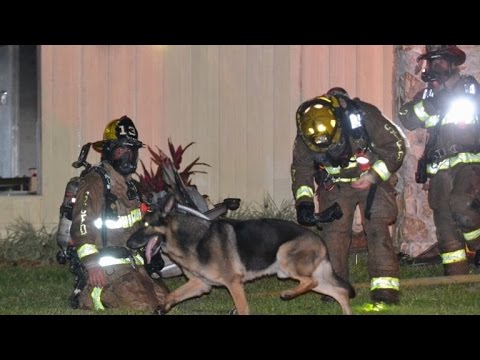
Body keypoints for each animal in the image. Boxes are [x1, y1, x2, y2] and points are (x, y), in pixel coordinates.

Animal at [128, 195, 356, 314]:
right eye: (140, 224)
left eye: (146, 225)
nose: (128, 244)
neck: (190, 239)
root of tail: (319, 238)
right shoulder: (201, 284)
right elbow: (173, 294)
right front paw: (162, 306)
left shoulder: (233, 283)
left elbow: (242, 308)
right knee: (339, 292)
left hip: (284, 258)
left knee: (311, 282)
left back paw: (288, 293)